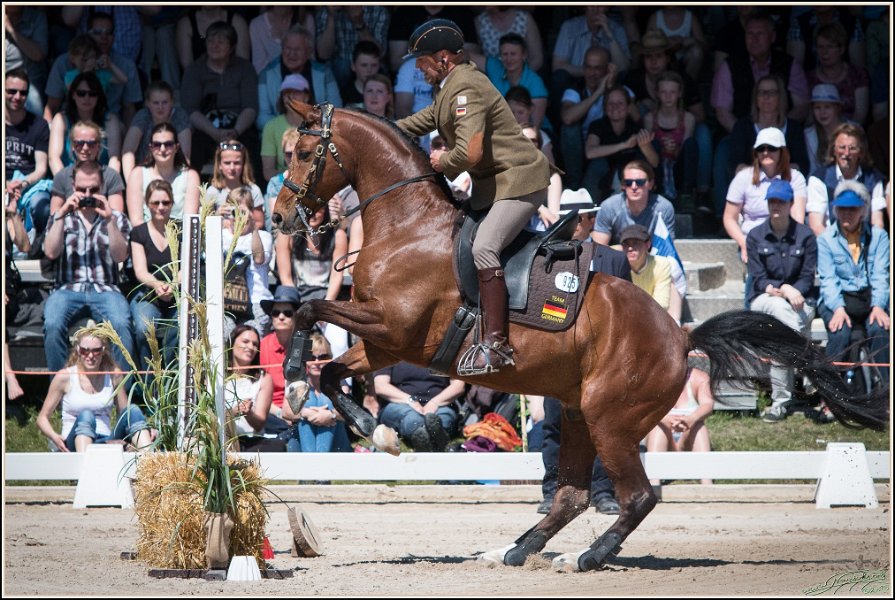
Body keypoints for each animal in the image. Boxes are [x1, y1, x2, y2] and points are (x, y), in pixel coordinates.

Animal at [272, 102, 888, 572]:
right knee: (569, 495)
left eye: (302, 154)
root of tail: (680, 334)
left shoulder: (393, 326)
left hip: (608, 417)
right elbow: (332, 364)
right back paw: (514, 551)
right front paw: (372, 427)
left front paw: (309, 390)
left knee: (637, 496)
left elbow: (307, 311)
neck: (408, 226)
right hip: (575, 413)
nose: (279, 220)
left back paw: (586, 557)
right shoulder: (385, 341)